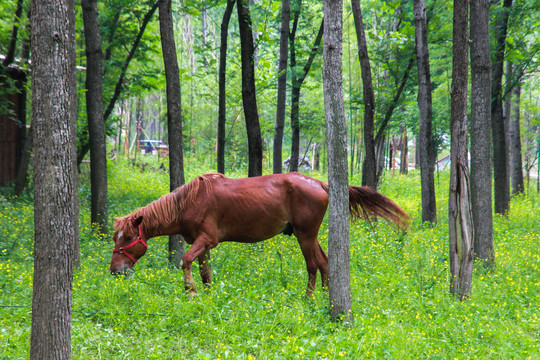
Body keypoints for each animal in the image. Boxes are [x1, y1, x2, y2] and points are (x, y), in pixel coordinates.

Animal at [110, 174, 410, 296]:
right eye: (116, 237)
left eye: (128, 238)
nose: (115, 271)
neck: (189, 202)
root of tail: (320, 182)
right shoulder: (203, 245)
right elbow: (205, 272)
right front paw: (205, 294)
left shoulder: (207, 240)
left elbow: (185, 261)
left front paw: (190, 291)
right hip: (310, 236)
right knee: (325, 263)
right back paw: (327, 297)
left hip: (305, 236)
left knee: (313, 265)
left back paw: (309, 299)